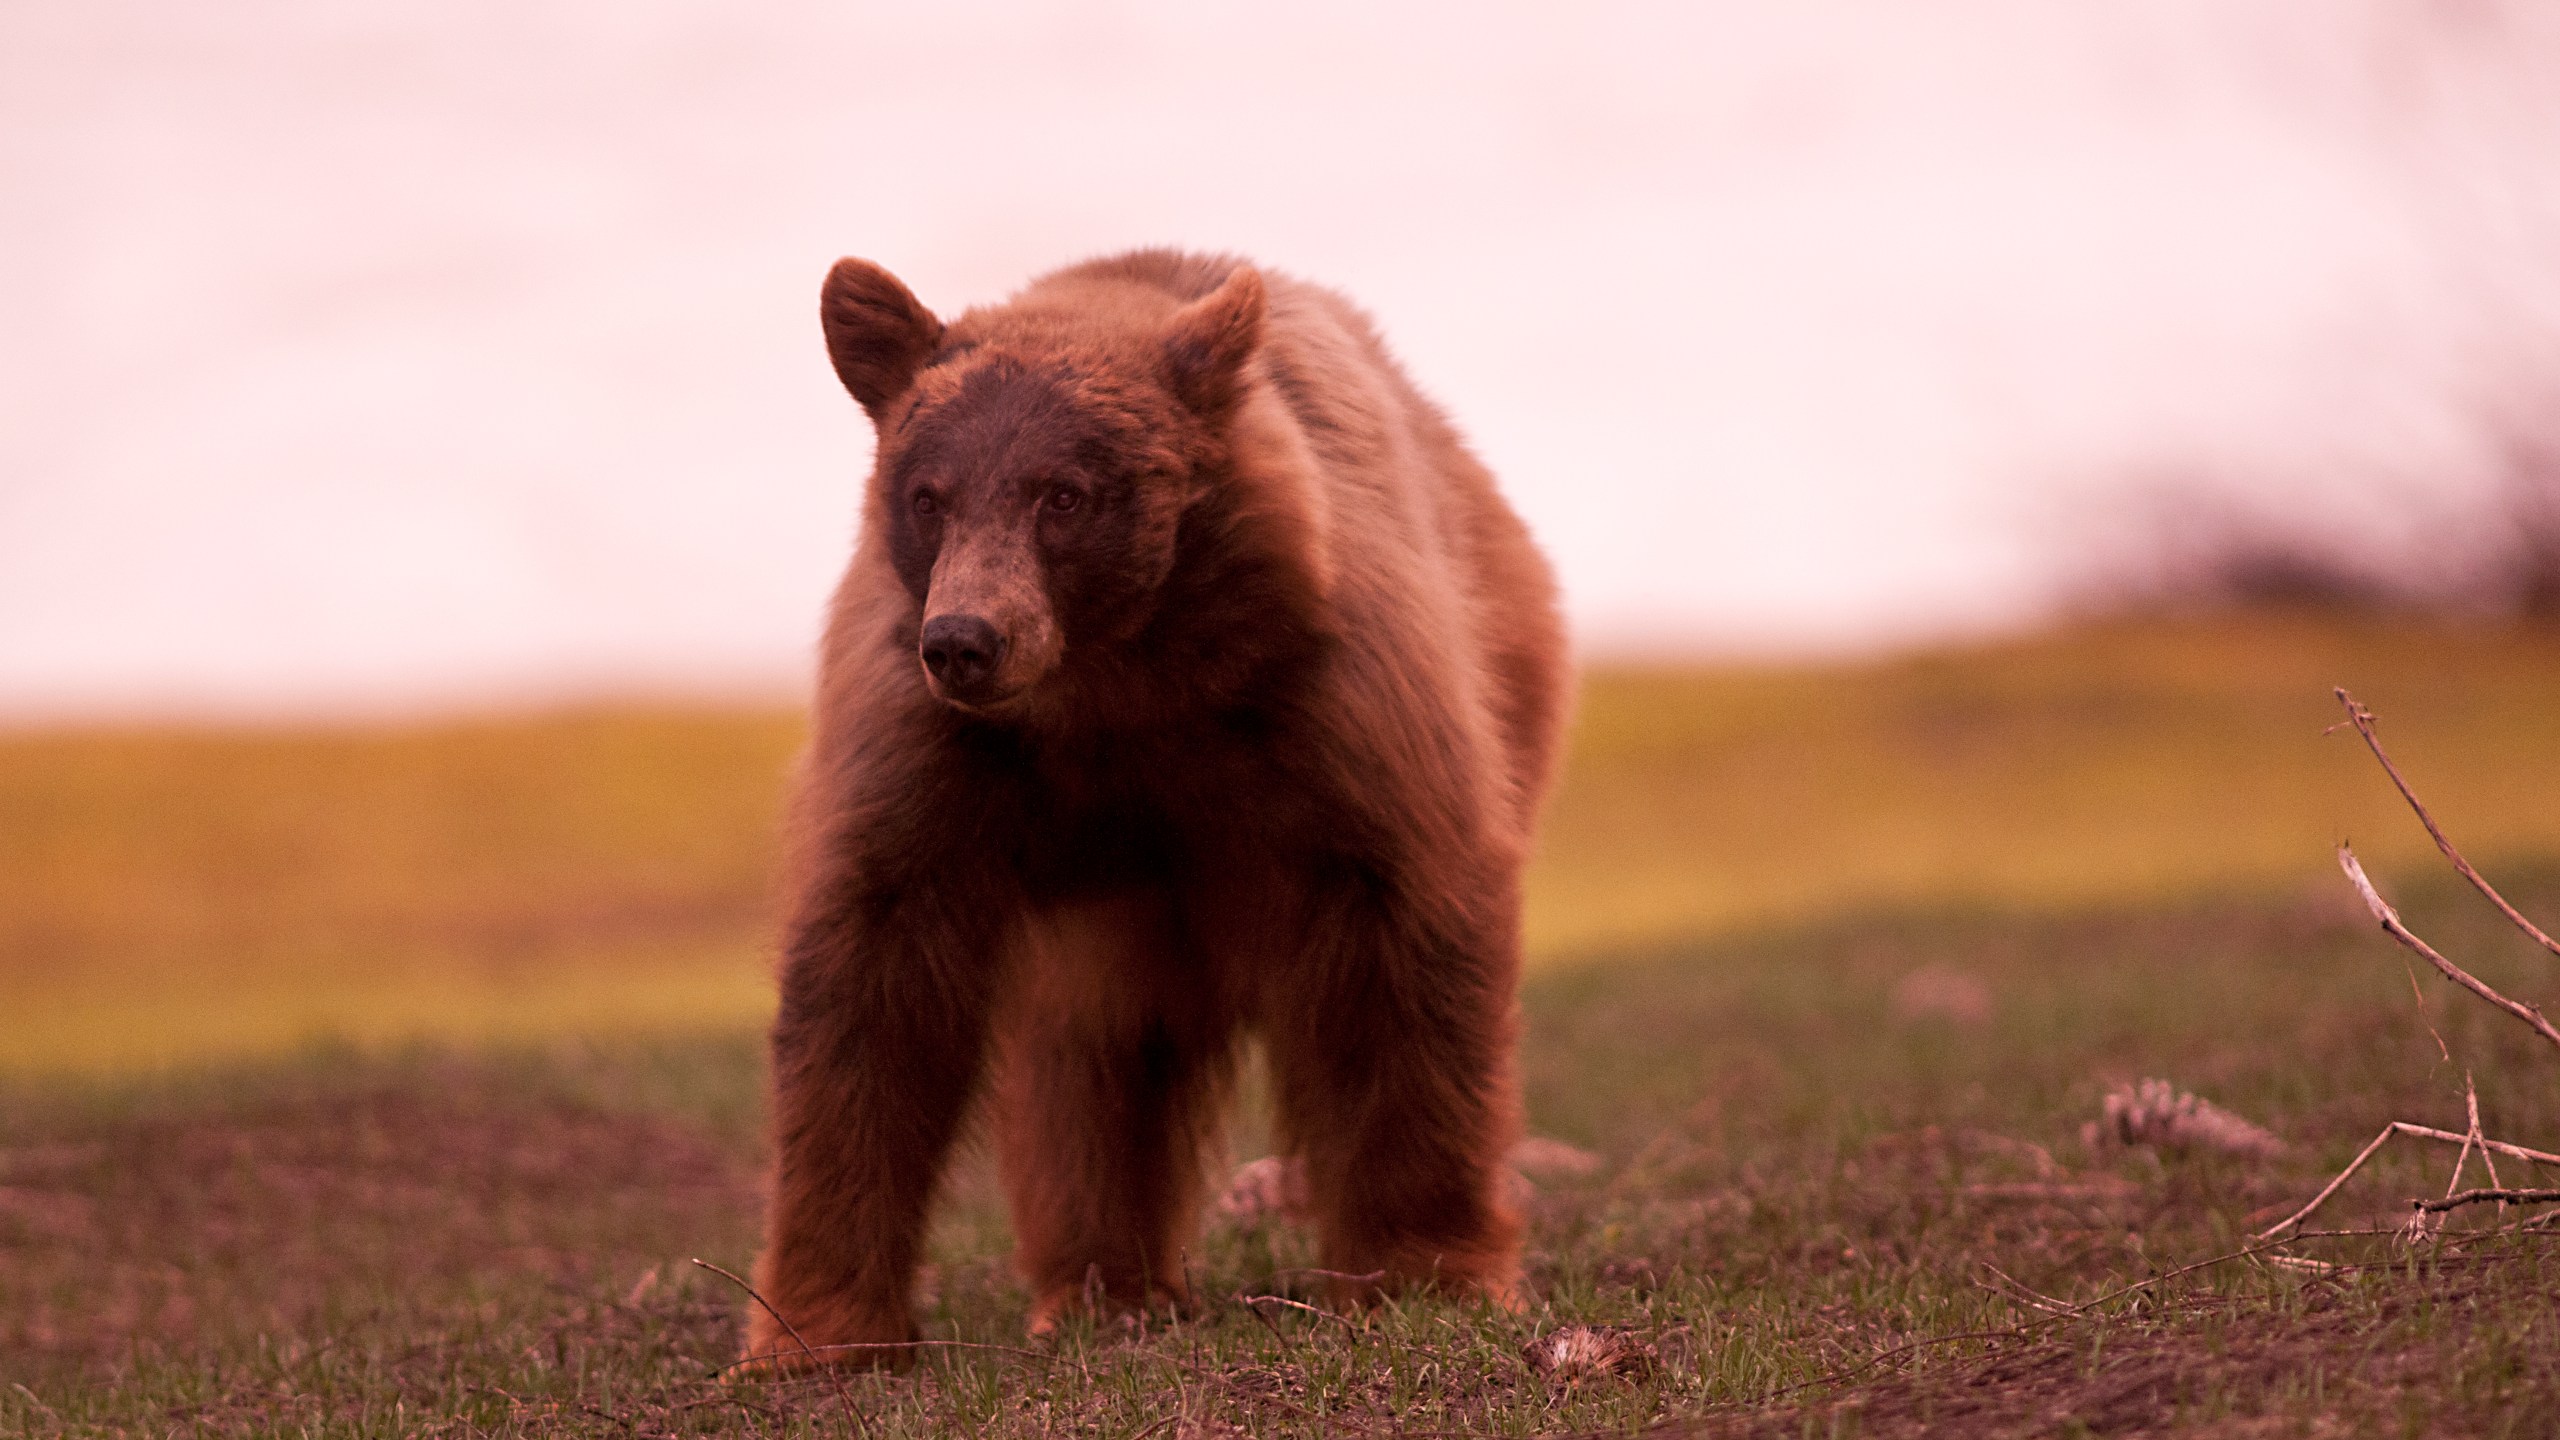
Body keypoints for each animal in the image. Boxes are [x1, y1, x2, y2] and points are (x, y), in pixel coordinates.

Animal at [747, 245, 1556, 1363]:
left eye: (1064, 494)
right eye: (927, 495)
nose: (964, 641)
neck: (1123, 687)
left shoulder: (1338, 707)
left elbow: (1406, 949)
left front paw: (1431, 1270)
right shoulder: (932, 750)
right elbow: (869, 984)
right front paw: (815, 1332)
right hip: (1107, 918)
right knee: (1094, 1058)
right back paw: (1103, 1286)